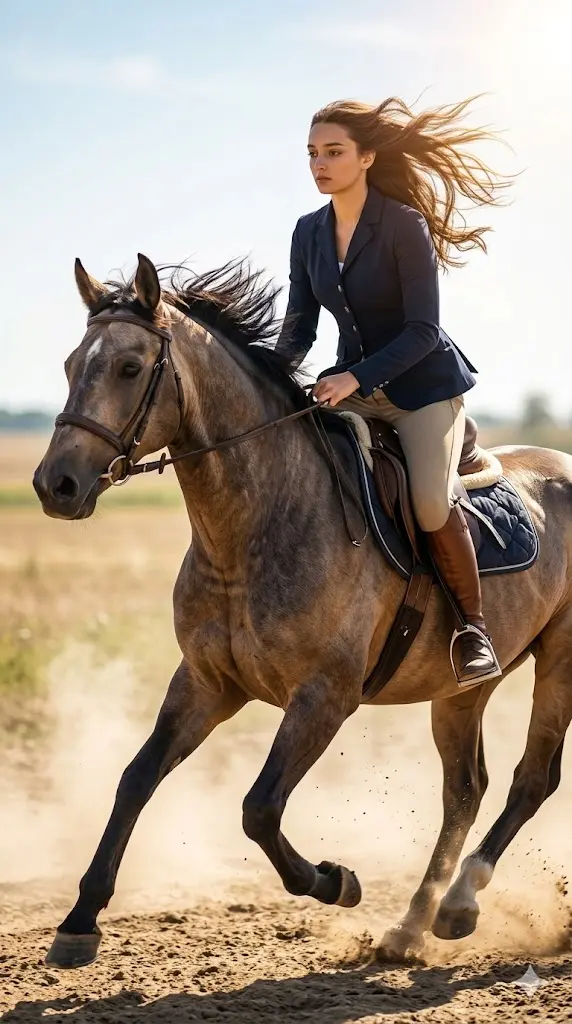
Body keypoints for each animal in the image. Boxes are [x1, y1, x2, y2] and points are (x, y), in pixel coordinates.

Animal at [33, 253, 572, 969]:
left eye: (128, 367)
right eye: (71, 364)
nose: (55, 486)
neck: (249, 532)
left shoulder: (324, 696)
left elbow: (258, 808)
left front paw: (334, 881)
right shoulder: (206, 683)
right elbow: (136, 778)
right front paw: (79, 920)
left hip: (559, 661)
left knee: (530, 780)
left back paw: (458, 905)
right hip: (460, 689)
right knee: (465, 788)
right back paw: (410, 925)